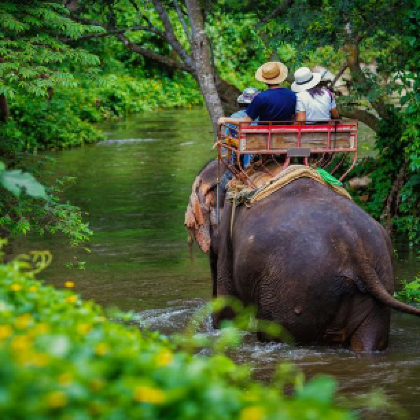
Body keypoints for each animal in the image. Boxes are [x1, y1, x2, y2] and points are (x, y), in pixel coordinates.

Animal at [185, 160, 420, 352]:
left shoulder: (228, 230)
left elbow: (229, 306)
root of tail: (355, 250)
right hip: (380, 278)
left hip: (290, 291)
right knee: (369, 341)